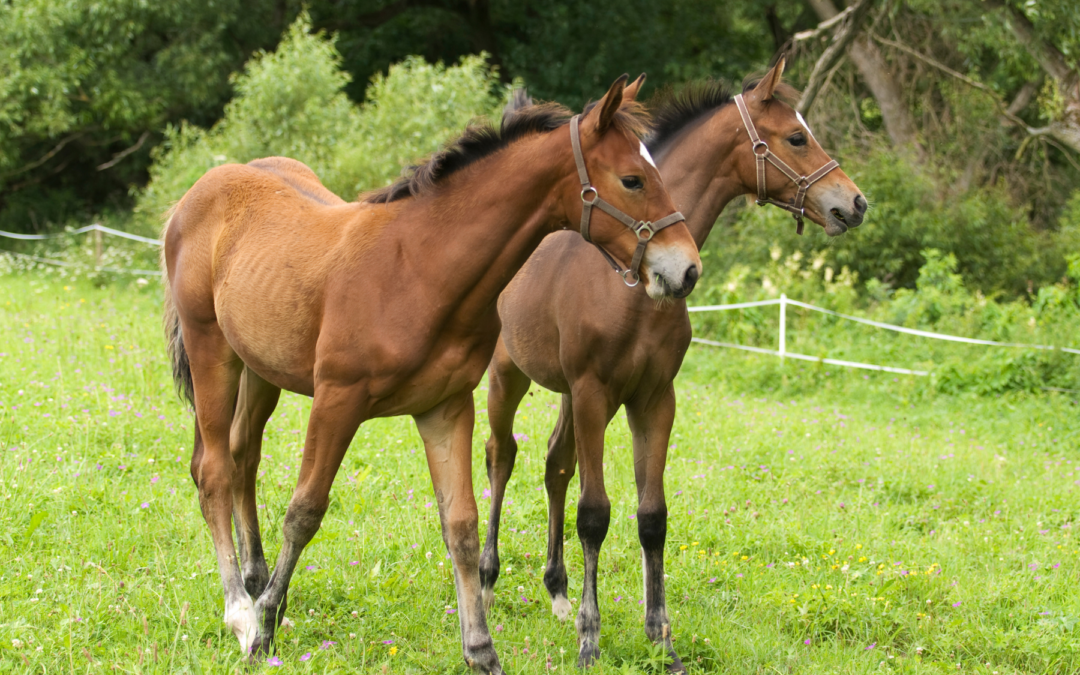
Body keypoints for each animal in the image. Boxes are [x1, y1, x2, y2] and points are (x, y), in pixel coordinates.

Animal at [161, 74, 702, 674]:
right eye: (632, 179)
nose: (685, 270)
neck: (419, 268)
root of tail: (197, 192)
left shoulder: (446, 407)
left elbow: (461, 525)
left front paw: (481, 649)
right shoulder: (337, 399)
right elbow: (305, 511)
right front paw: (265, 632)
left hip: (260, 371)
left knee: (241, 459)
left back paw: (254, 581)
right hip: (212, 351)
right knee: (213, 470)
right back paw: (240, 610)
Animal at [478, 58, 866, 670]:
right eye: (796, 137)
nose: (854, 203)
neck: (633, 284)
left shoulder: (654, 399)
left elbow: (651, 518)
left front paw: (662, 640)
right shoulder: (595, 394)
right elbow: (596, 514)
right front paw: (590, 642)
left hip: (565, 394)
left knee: (555, 465)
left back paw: (558, 593)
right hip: (508, 376)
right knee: (502, 458)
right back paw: (488, 583)